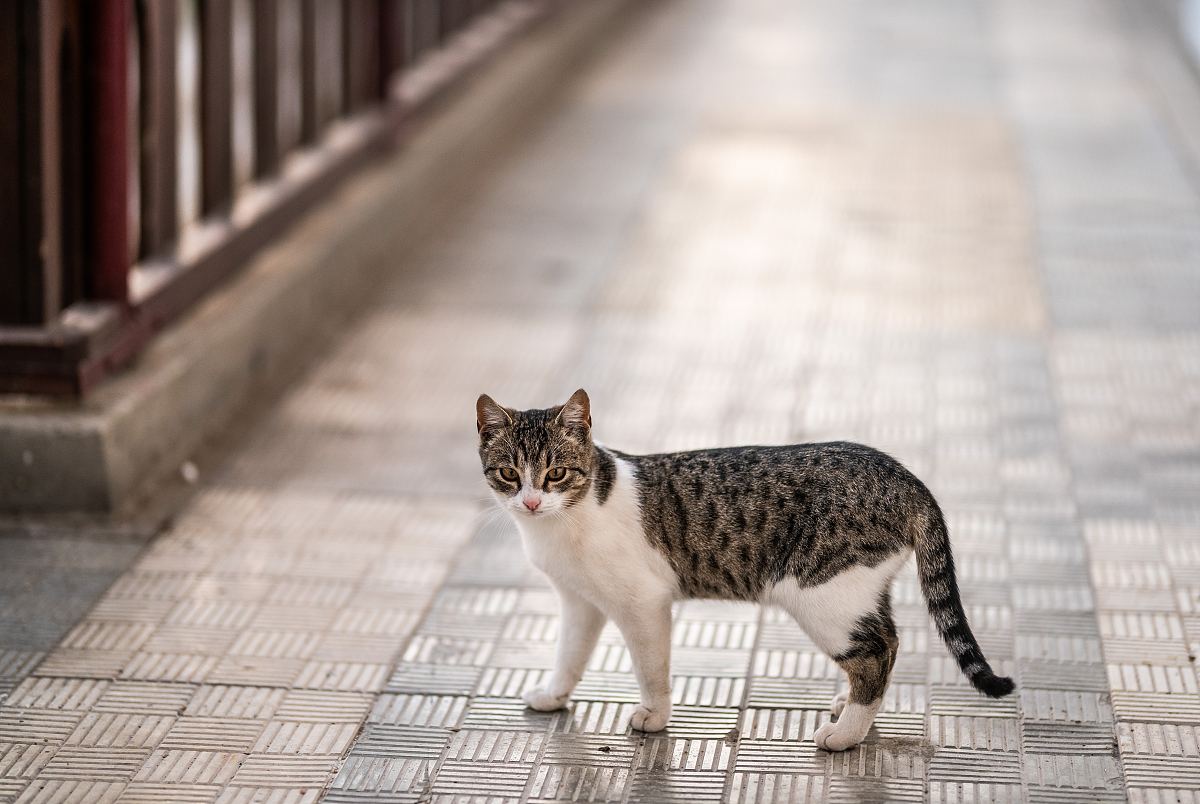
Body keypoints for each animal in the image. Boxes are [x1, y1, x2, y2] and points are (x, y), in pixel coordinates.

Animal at [472, 386, 1008, 753]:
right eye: (509, 474)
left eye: (556, 473)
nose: (532, 501)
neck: (563, 522)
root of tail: (907, 477)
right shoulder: (579, 602)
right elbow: (569, 656)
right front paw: (553, 695)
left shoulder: (643, 602)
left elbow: (651, 668)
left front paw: (654, 715)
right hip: (859, 590)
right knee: (888, 640)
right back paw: (850, 709)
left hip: (820, 594)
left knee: (877, 652)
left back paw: (845, 734)